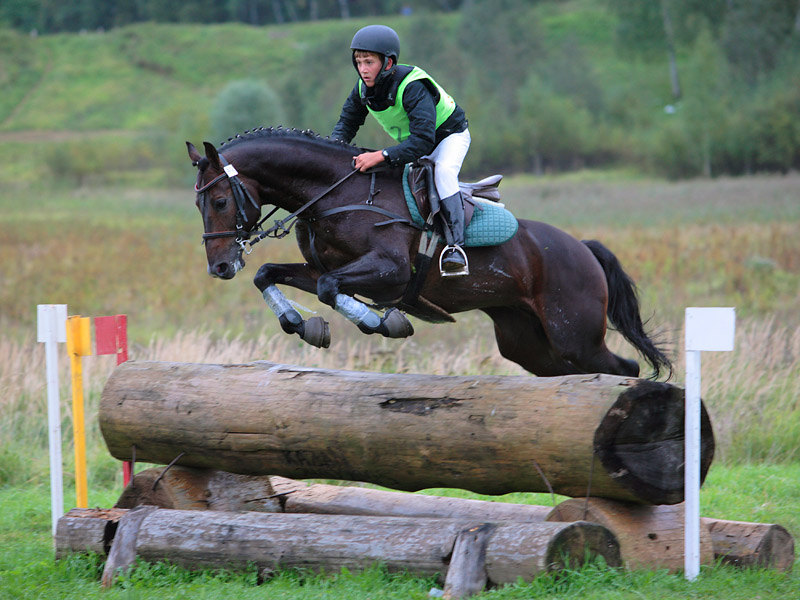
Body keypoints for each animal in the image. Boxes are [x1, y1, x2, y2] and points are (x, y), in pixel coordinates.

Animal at [186, 127, 668, 380]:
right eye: (198, 204)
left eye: (221, 201)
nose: (220, 266)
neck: (338, 194)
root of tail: (583, 250)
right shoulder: (319, 266)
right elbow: (271, 274)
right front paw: (303, 326)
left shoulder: (392, 271)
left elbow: (329, 288)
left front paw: (383, 322)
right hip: (530, 344)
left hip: (574, 335)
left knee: (623, 367)